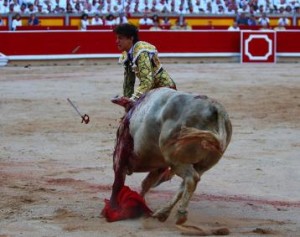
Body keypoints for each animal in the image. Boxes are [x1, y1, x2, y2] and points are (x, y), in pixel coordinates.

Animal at [107, 88, 232, 225]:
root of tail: (215, 107)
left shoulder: (120, 155)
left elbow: (118, 183)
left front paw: (113, 207)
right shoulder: (159, 167)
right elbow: (146, 184)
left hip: (175, 159)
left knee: (191, 179)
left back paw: (180, 214)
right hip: (201, 165)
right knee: (187, 183)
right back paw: (163, 212)